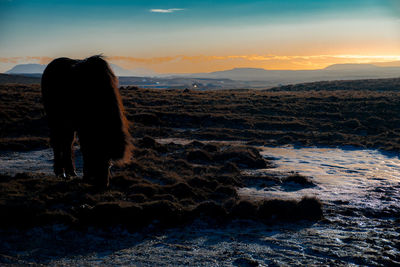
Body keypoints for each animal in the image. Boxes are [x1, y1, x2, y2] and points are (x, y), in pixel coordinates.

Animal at [41, 55, 133, 187]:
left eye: (109, 162)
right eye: (98, 155)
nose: (103, 184)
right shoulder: (83, 128)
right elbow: (85, 148)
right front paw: (85, 176)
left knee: (67, 142)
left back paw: (71, 171)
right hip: (55, 119)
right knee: (58, 141)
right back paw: (60, 172)